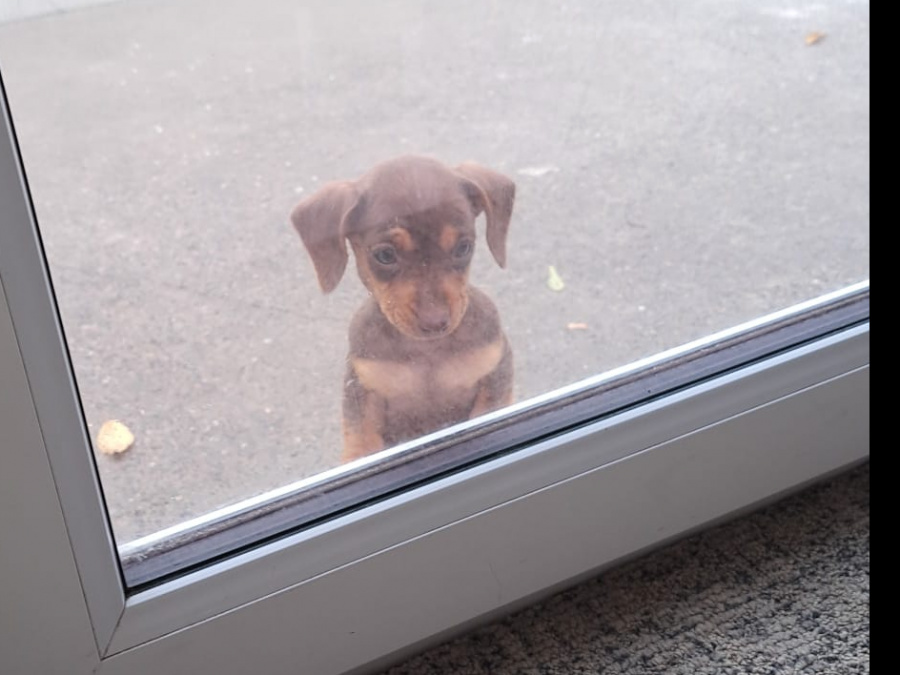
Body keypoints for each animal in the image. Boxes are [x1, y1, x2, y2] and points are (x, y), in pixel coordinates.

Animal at [292, 155, 516, 462]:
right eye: (385, 255)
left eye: (464, 247)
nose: (435, 322)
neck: (427, 354)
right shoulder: (361, 391)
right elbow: (361, 445)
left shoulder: (496, 374)